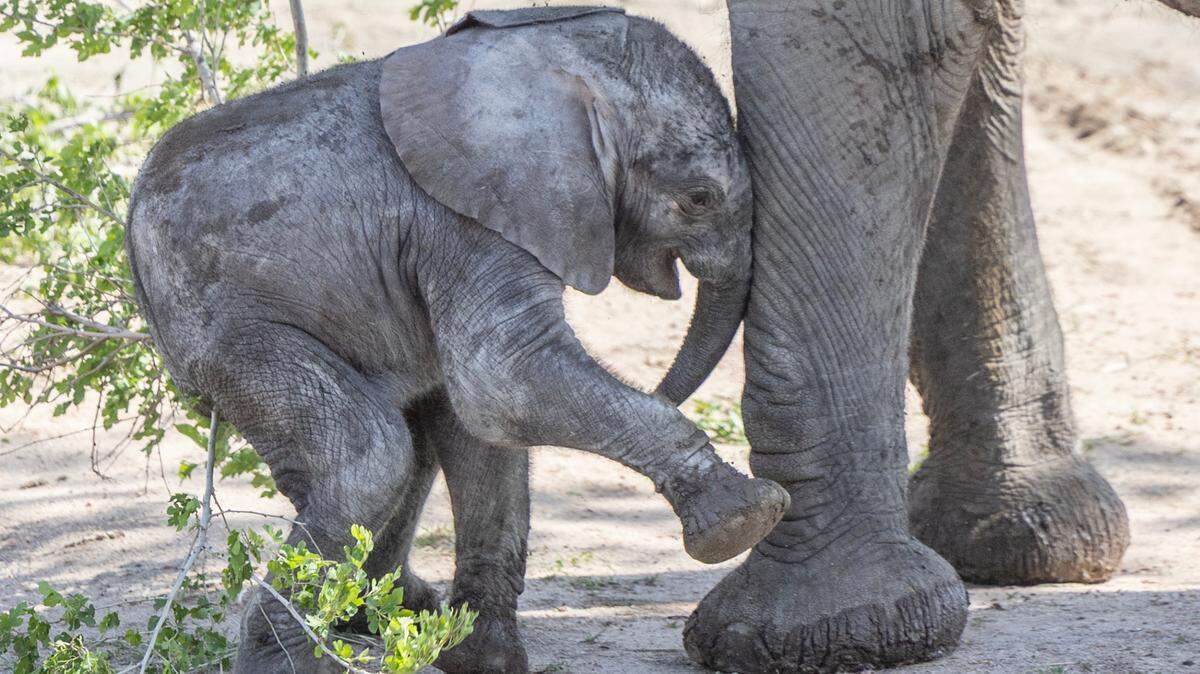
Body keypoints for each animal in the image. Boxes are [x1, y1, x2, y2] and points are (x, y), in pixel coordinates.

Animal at [125, 7, 792, 673]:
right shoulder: (464, 221)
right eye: (698, 198)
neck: (549, 61)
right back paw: (293, 654)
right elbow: (503, 381)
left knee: (402, 455)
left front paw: (484, 658)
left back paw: (392, 609)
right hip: (229, 334)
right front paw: (749, 517)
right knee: (370, 454)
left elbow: (486, 431)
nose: (664, 385)